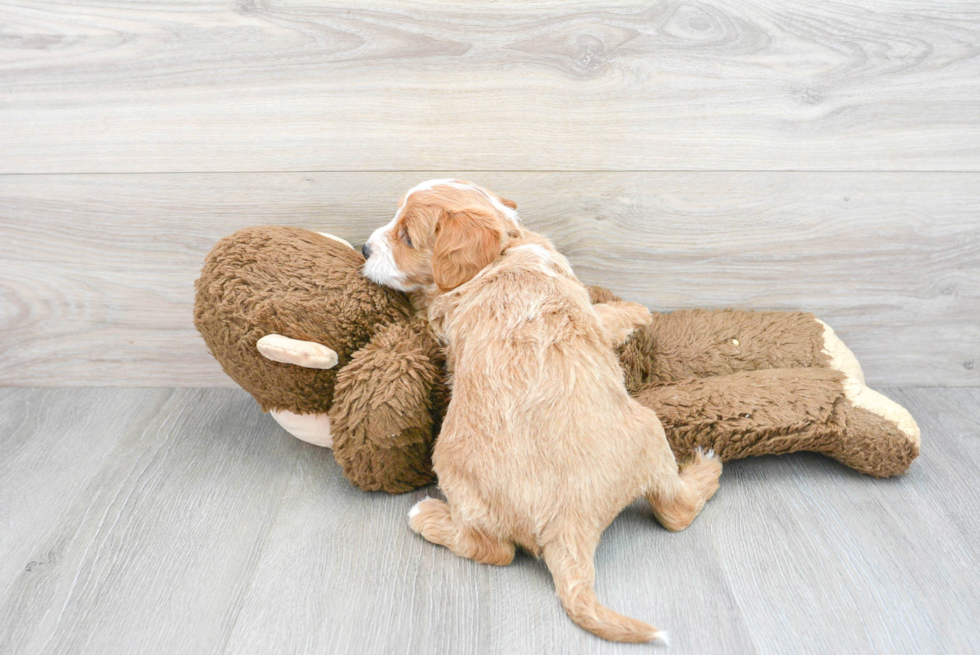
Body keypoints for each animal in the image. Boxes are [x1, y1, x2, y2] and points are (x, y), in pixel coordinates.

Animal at [360, 181, 720, 644]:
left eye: (405, 237)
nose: (364, 249)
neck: (505, 249)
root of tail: (569, 524)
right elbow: (600, 316)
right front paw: (635, 311)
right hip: (650, 431)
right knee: (675, 510)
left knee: (496, 549)